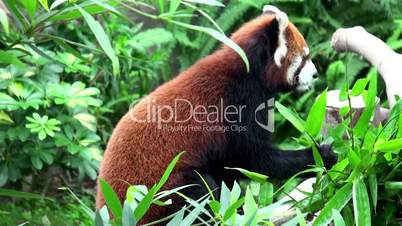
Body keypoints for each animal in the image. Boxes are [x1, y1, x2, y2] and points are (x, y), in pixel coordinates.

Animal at [96, 5, 336, 224]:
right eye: (305, 57)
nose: (315, 74)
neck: (250, 70)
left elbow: (230, 168)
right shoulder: (241, 103)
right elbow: (253, 159)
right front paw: (318, 156)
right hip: (162, 194)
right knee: (198, 191)